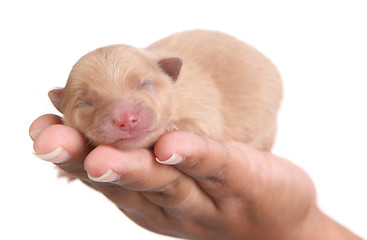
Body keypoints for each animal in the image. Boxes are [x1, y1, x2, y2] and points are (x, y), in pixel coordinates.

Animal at [49, 29, 284, 151]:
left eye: (146, 83)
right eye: (85, 103)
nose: (126, 119)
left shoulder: (203, 107)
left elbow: (205, 126)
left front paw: (170, 127)